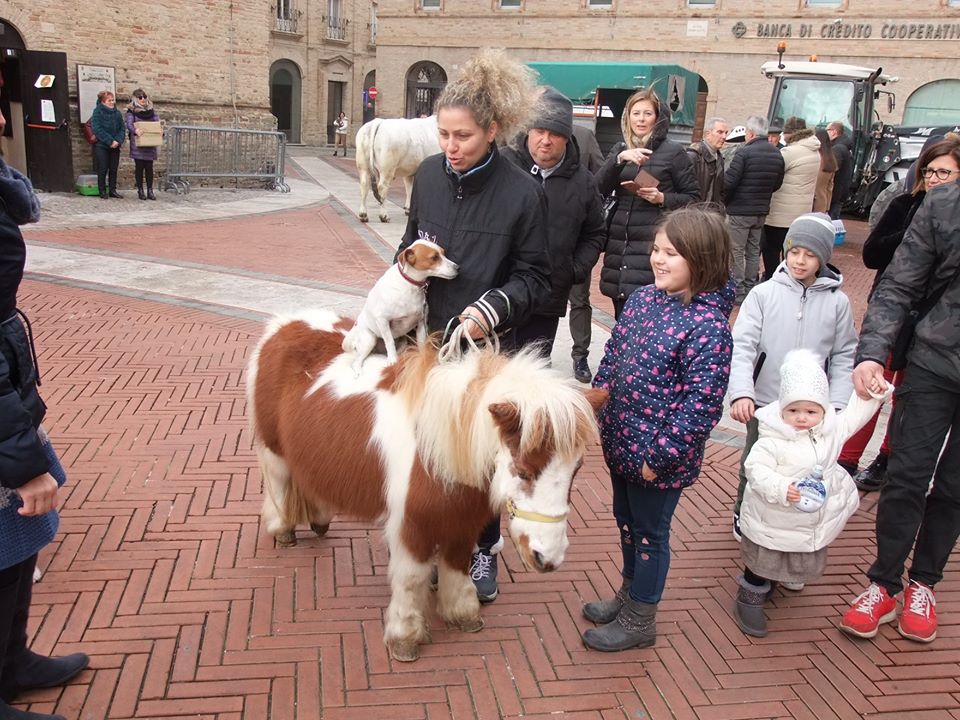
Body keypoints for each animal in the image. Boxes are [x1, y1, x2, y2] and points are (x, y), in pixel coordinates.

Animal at [248, 306, 608, 660]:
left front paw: (464, 615)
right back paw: (283, 532)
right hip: (273, 453)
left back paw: (320, 520)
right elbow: (410, 579)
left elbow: (457, 566)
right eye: (523, 471)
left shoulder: (462, 522)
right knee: (279, 484)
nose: (548, 559)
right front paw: (404, 638)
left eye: (575, 470)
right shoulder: (411, 527)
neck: (439, 445)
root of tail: (283, 324)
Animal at [344, 240, 460, 376]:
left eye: (443, 253)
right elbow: (389, 341)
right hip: (369, 340)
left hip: (403, 341)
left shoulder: (421, 323)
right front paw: (392, 360)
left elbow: (421, 343)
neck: (410, 284)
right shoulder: (382, 320)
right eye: (434, 257)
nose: (458, 267)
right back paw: (358, 372)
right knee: (356, 361)